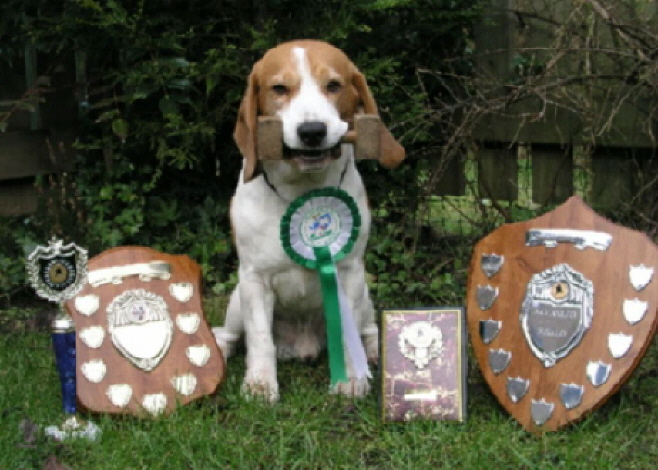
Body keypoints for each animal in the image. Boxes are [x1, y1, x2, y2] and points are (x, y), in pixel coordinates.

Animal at [213, 40, 402, 400]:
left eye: (334, 85)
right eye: (279, 89)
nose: (312, 131)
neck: (303, 190)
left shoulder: (349, 272)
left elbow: (348, 333)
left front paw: (351, 378)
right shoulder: (254, 279)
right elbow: (260, 340)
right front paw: (260, 384)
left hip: (365, 294)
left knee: (368, 328)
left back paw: (372, 351)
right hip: (236, 300)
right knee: (229, 335)